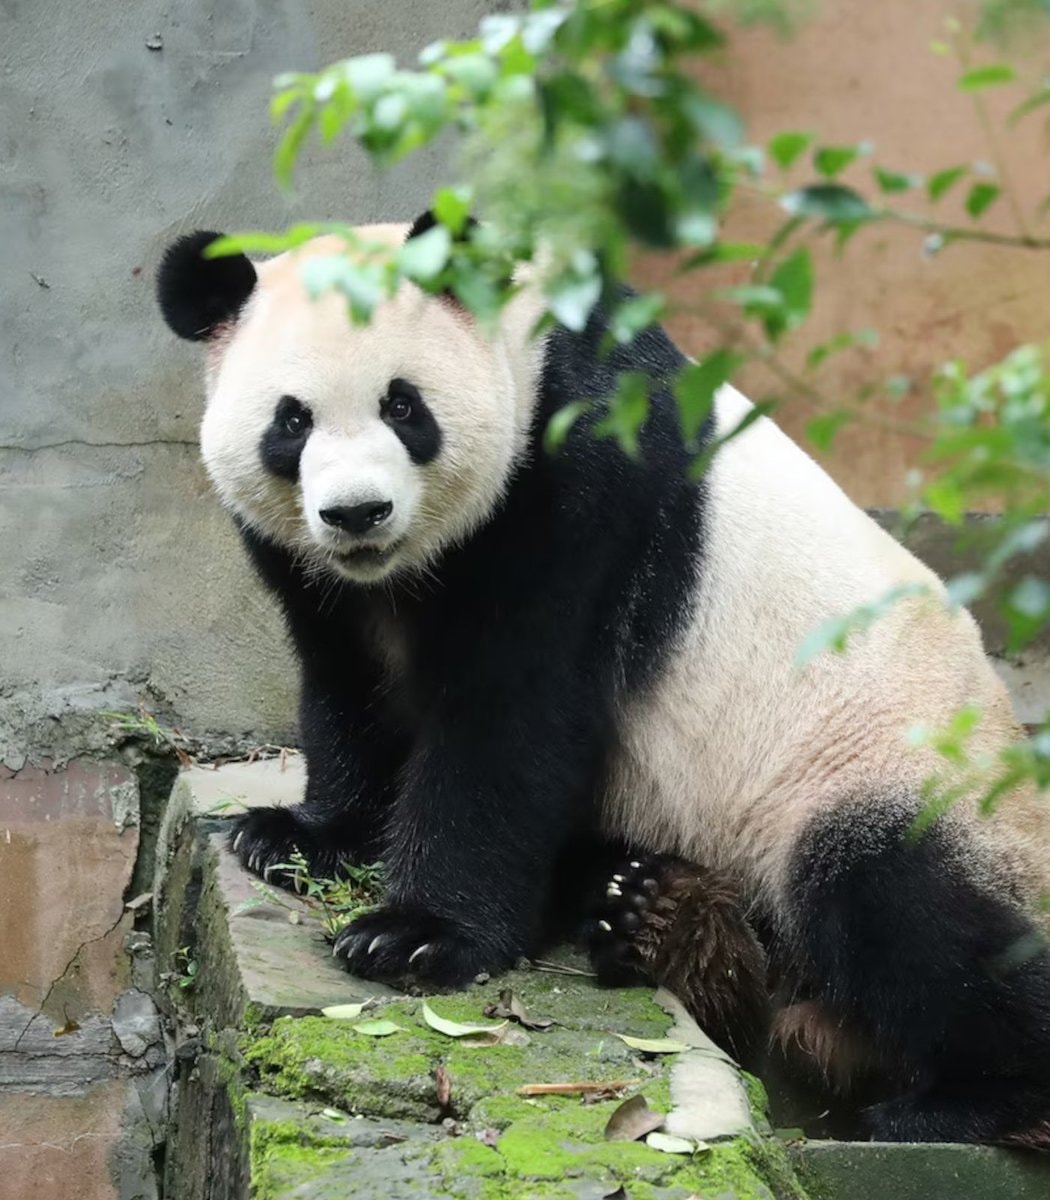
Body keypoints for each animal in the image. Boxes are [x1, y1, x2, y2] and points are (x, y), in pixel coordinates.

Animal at [157, 215, 1050, 1149]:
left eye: (403, 407)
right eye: (291, 421)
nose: (357, 513)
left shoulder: (580, 480)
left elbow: (515, 713)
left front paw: (414, 936)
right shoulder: (324, 582)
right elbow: (347, 685)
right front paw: (298, 836)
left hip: (883, 764)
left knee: (904, 905)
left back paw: (963, 1099)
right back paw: (644, 917)